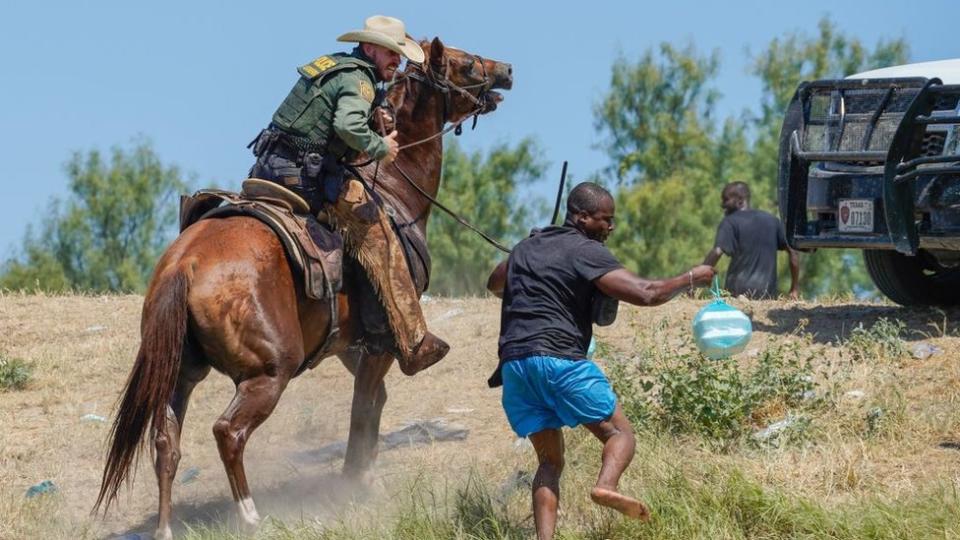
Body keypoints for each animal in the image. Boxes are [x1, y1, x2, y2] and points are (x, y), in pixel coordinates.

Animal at [97, 35, 512, 536]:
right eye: (465, 63)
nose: (507, 71)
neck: (394, 190)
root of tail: (185, 265)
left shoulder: (351, 345)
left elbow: (372, 405)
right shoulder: (381, 343)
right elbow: (362, 410)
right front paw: (355, 483)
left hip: (182, 371)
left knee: (165, 441)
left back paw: (165, 526)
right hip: (268, 373)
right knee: (228, 432)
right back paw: (250, 514)